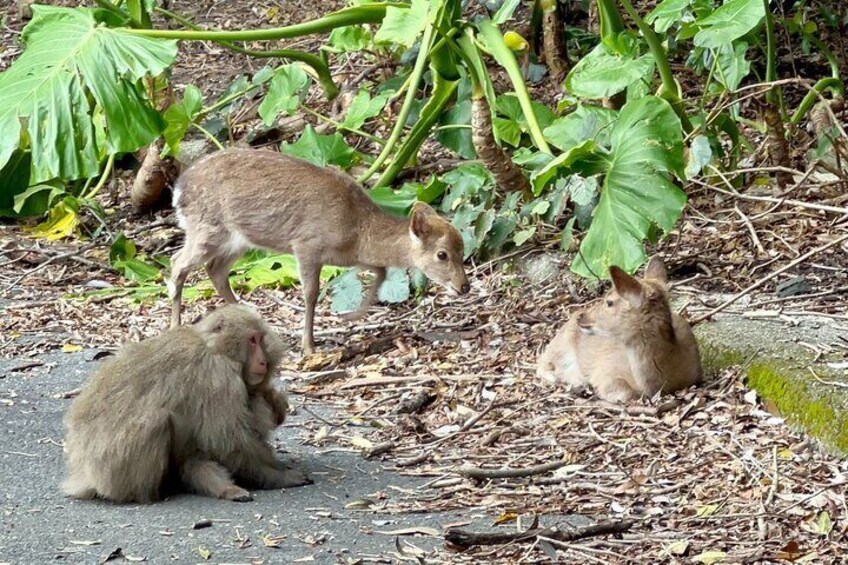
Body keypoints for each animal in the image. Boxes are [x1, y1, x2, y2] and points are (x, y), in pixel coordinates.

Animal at [61, 304, 312, 502]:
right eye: (252, 340)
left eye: (260, 339)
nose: (262, 361)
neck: (214, 347)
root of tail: (84, 471)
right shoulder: (219, 377)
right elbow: (230, 440)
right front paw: (278, 476)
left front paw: (275, 402)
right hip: (113, 469)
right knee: (157, 421)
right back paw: (148, 494)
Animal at [167, 149, 470, 352]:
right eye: (442, 254)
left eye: (462, 247)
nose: (464, 286)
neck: (357, 230)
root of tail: (178, 189)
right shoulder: (307, 245)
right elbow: (311, 294)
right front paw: (309, 345)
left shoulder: (346, 257)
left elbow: (381, 272)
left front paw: (350, 316)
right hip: (208, 229)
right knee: (177, 262)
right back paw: (174, 326)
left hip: (238, 241)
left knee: (214, 270)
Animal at [536, 256, 704, 400]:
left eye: (609, 302)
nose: (582, 316)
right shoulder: (605, 369)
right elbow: (623, 392)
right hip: (559, 346)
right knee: (543, 364)